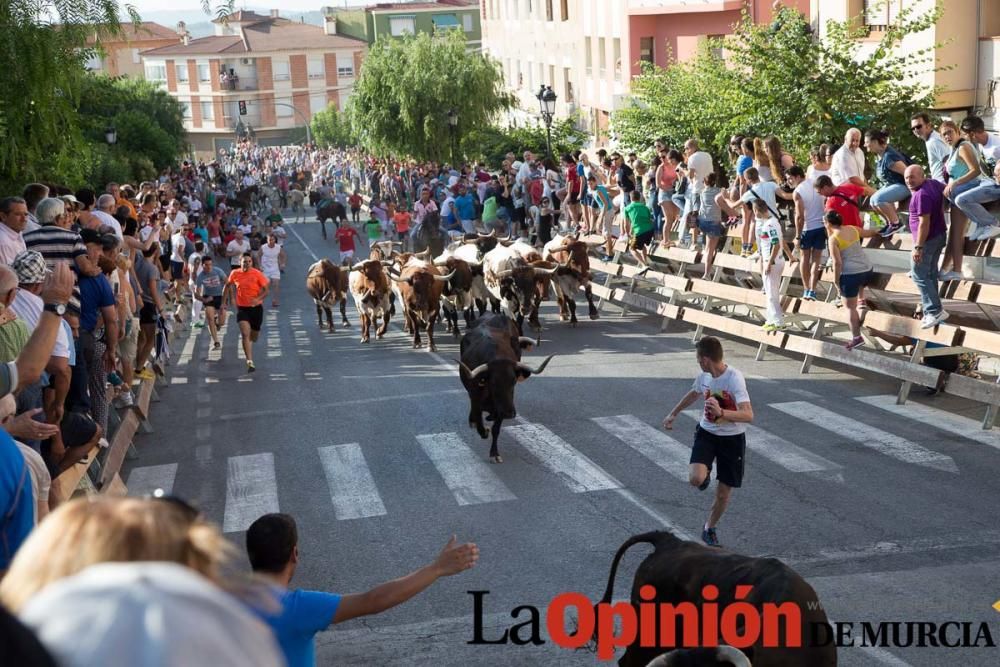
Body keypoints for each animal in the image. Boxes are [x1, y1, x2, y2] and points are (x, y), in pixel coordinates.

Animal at [460, 314, 556, 464]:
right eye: (493, 383)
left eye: (513, 381)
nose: (509, 413)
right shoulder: (476, 397)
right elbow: (479, 420)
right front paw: (483, 430)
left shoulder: (503, 406)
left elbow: (496, 429)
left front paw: (494, 453)